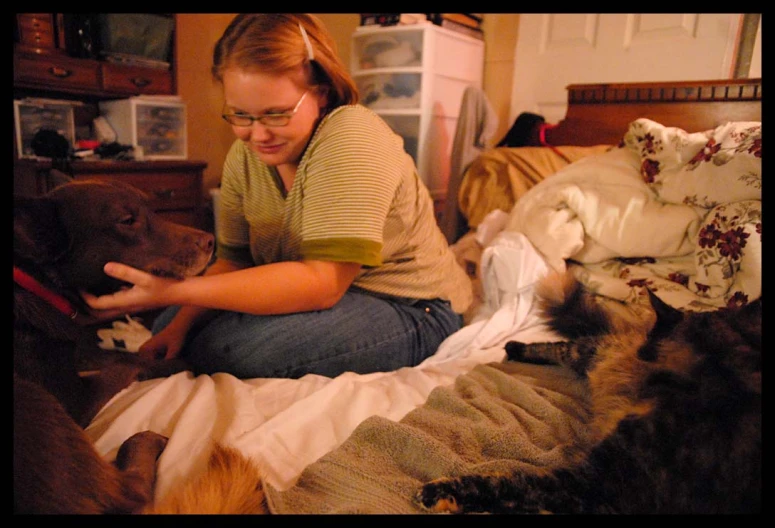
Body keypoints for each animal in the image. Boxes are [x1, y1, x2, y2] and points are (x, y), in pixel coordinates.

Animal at [12, 179, 217, 512]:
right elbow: (126, 361)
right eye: (127, 220)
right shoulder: (74, 402)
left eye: (151, 208)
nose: (211, 241)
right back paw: (144, 441)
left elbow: (107, 355)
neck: (40, 282)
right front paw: (176, 361)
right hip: (35, 402)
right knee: (132, 494)